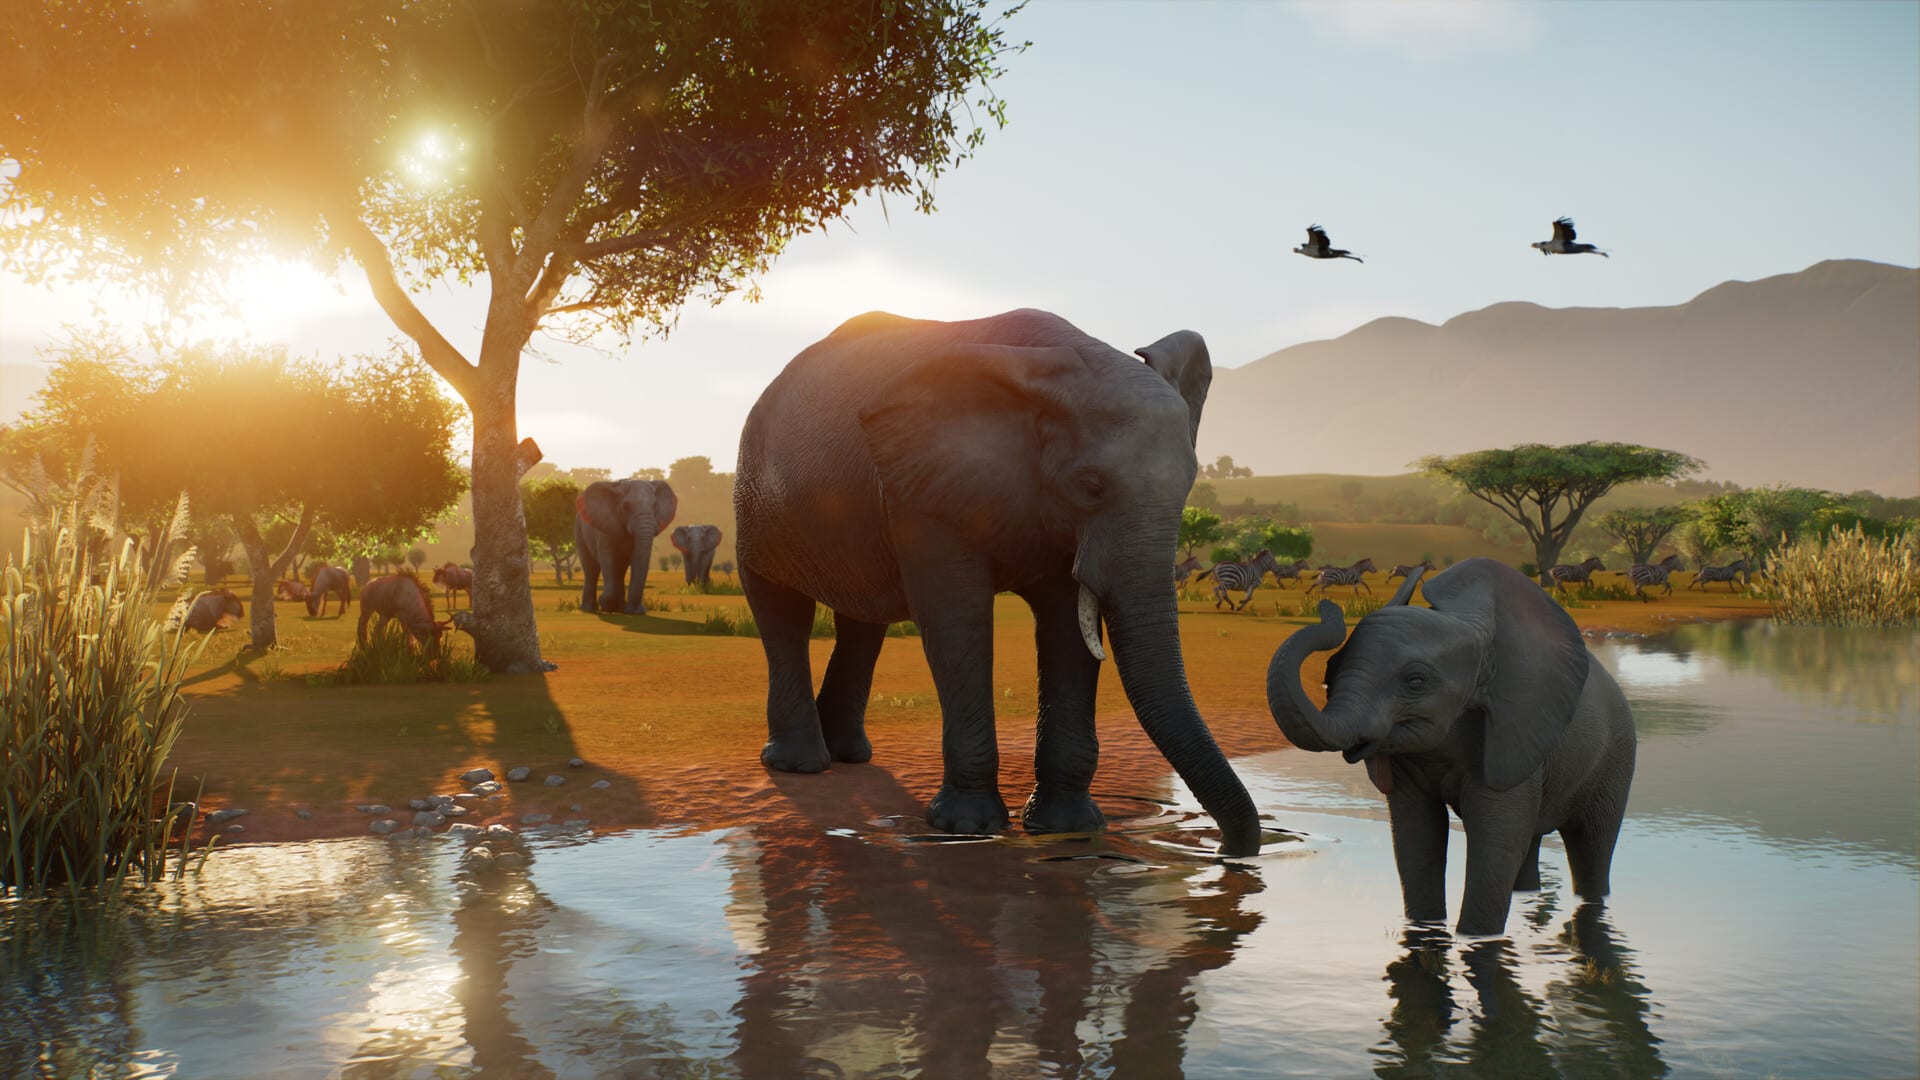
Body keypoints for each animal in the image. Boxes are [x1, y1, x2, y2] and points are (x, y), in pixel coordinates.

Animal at [574, 478, 678, 613]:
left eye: (654, 506)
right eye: (626, 506)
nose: (602, 599)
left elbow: (636, 558)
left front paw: (634, 612)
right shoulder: (603, 527)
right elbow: (607, 558)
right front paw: (606, 604)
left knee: (619, 570)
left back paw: (619, 608)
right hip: (579, 531)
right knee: (591, 569)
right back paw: (590, 609)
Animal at [734, 308, 1261, 855]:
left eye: (1188, 486)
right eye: (1090, 486)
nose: (1222, 849)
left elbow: (1066, 630)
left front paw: (1067, 828)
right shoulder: (923, 491)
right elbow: (957, 619)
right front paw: (967, 828)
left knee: (862, 624)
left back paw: (849, 755)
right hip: (758, 500)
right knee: (782, 612)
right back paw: (799, 765)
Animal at [1266, 558, 1636, 934]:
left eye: (1416, 681)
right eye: (1331, 671)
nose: (1328, 607)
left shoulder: (1512, 737)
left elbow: (1495, 840)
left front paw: (1475, 939)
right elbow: (1417, 834)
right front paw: (1426, 928)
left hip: (1617, 756)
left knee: (1592, 844)